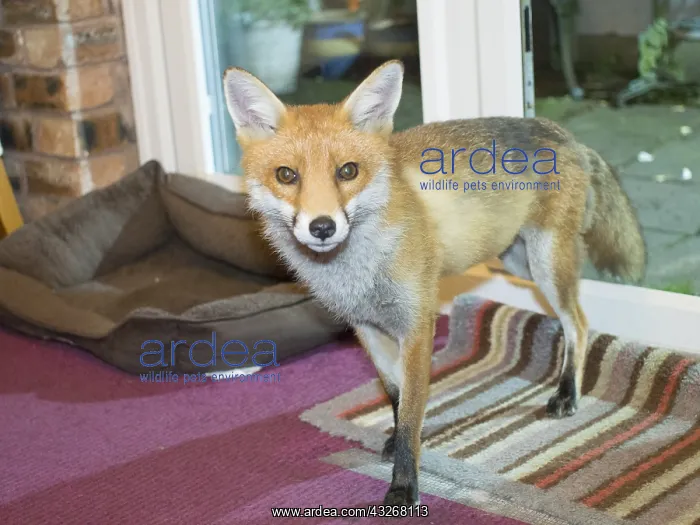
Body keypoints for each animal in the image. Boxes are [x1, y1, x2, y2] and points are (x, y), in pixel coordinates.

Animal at [221, 60, 646, 506]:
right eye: (287, 175)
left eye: (348, 171)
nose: (322, 227)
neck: (359, 273)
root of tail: (562, 133)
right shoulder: (367, 327)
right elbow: (395, 395)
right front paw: (395, 444)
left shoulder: (417, 324)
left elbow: (412, 411)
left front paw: (403, 486)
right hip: (518, 263)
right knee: (575, 319)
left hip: (546, 264)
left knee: (578, 322)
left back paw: (567, 393)